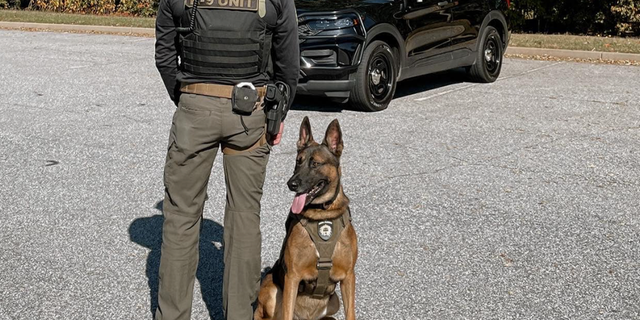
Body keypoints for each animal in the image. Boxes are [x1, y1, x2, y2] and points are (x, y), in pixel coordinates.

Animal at [252, 116, 358, 320]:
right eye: (297, 162)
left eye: (315, 164)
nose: (291, 184)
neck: (322, 214)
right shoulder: (292, 277)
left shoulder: (348, 276)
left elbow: (351, 314)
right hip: (270, 290)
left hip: (334, 302)